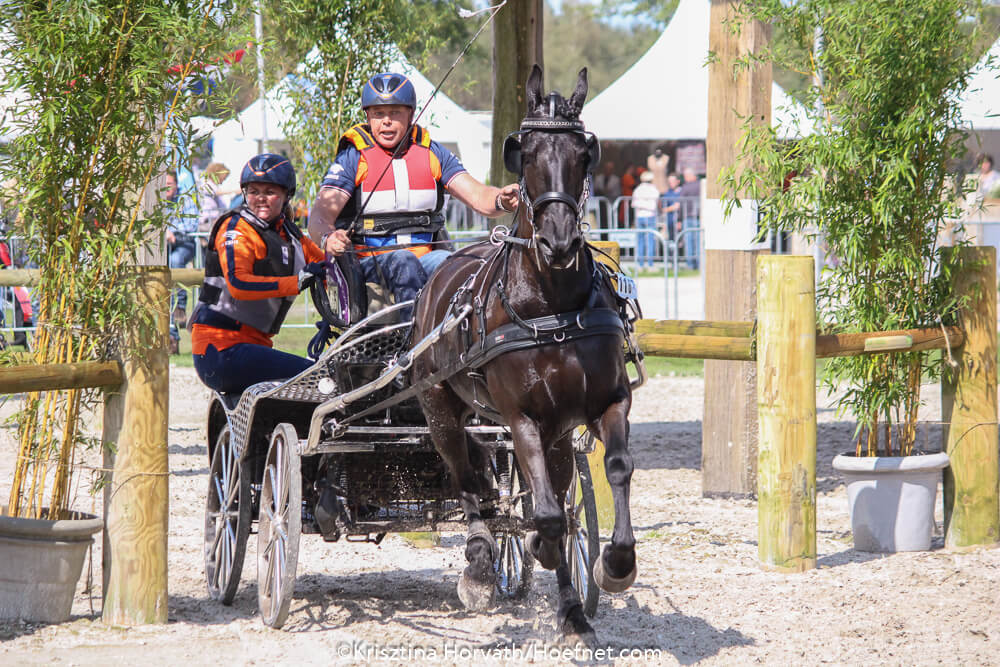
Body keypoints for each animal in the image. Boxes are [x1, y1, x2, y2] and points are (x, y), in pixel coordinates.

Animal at [412, 65, 640, 644]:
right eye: (527, 151)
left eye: (584, 153)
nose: (559, 241)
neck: (552, 307)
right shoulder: (521, 419)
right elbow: (546, 515)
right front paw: (536, 544)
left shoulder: (606, 403)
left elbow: (613, 471)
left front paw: (615, 564)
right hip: (439, 409)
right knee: (466, 479)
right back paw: (479, 563)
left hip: (557, 431)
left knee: (545, 492)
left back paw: (572, 611)